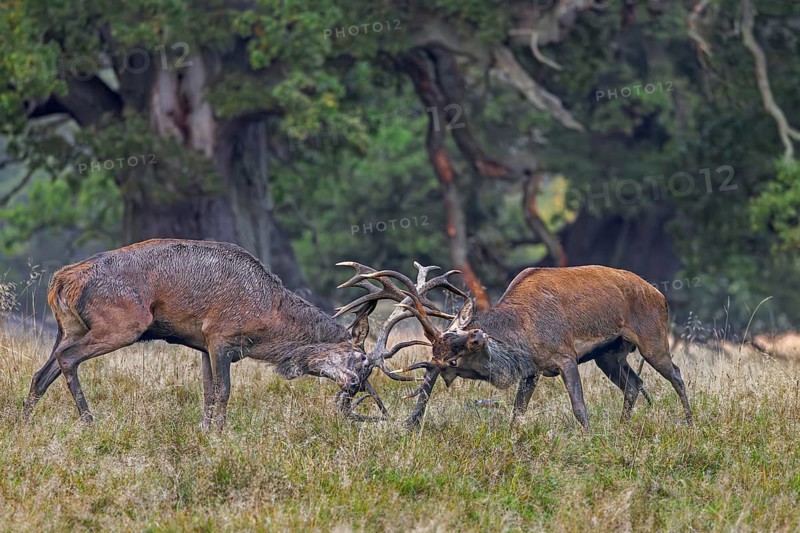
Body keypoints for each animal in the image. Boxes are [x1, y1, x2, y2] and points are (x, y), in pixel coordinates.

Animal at [21, 239, 433, 428]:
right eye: (362, 359)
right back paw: (89, 419)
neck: (269, 318)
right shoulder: (220, 335)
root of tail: (61, 280)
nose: (354, 387)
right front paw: (221, 434)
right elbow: (223, 391)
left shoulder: (203, 345)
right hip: (123, 323)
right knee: (67, 360)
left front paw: (205, 431)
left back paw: (22, 422)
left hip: (69, 327)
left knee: (41, 372)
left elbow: (206, 393)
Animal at [336, 263, 693, 431]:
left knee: (676, 373)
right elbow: (517, 412)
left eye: (455, 359)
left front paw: (589, 436)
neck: (523, 332)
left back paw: (691, 423)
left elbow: (579, 408)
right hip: (609, 355)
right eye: (432, 361)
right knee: (633, 383)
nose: (413, 419)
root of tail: (659, 294)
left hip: (652, 337)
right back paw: (623, 426)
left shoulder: (565, 355)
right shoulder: (532, 370)